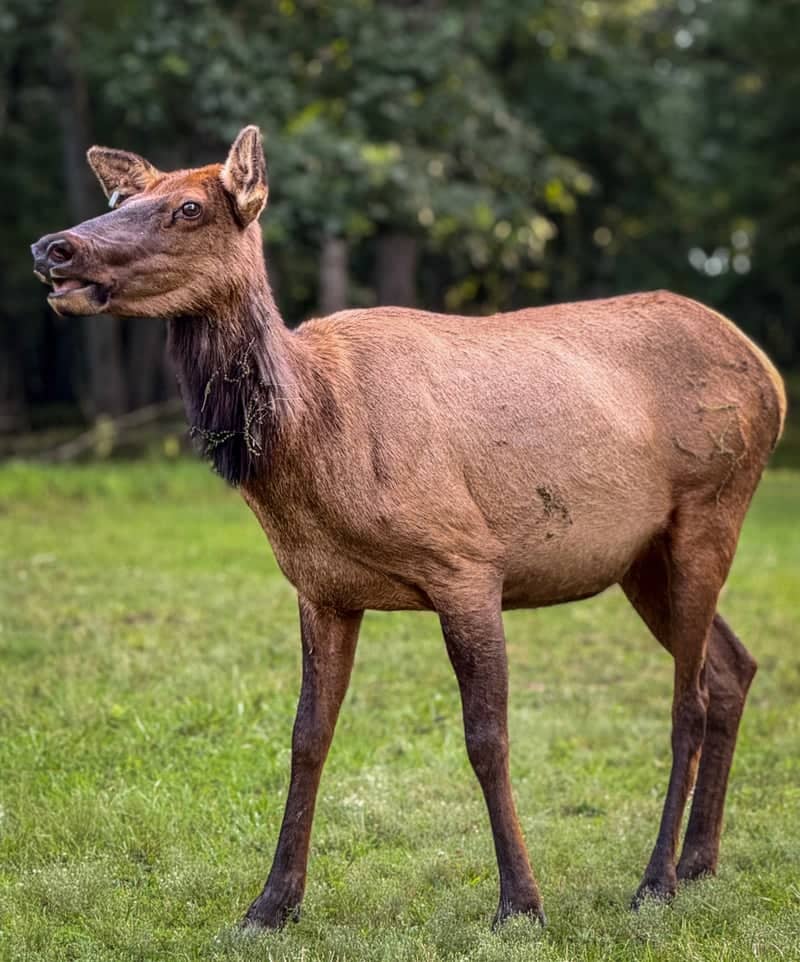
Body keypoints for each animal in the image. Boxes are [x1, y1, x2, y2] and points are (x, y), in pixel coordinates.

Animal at [32, 126, 786, 931]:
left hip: (713, 502)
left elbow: (487, 739)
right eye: (122, 200)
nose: (54, 247)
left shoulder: (468, 564)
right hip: (639, 556)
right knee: (733, 667)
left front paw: (520, 903)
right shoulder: (321, 589)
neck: (314, 444)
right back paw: (701, 861)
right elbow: (307, 738)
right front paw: (270, 903)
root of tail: (771, 376)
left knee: (689, 697)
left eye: (189, 208)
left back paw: (657, 881)